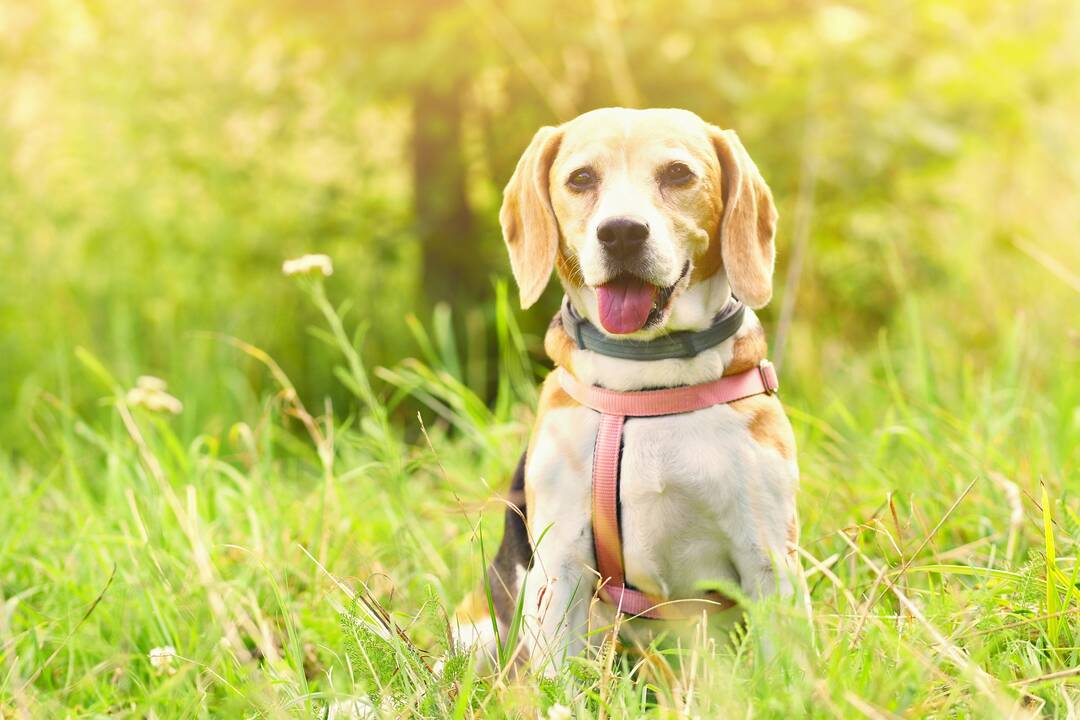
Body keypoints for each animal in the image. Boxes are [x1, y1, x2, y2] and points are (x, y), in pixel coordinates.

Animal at [451, 106, 799, 677]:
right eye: (580, 179)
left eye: (678, 174)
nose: (620, 233)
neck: (649, 377)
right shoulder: (561, 566)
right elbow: (559, 681)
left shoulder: (769, 557)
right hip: (478, 636)